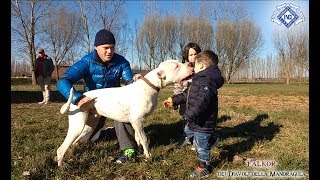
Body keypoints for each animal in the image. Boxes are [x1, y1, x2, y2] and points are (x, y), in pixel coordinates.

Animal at [55, 59, 194, 167]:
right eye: (176, 66)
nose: (191, 64)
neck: (150, 85)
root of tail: (78, 99)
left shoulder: (138, 122)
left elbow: (138, 138)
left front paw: (139, 151)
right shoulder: (136, 120)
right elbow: (144, 139)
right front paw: (148, 156)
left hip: (88, 126)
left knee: (74, 142)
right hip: (77, 126)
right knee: (61, 149)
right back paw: (62, 166)